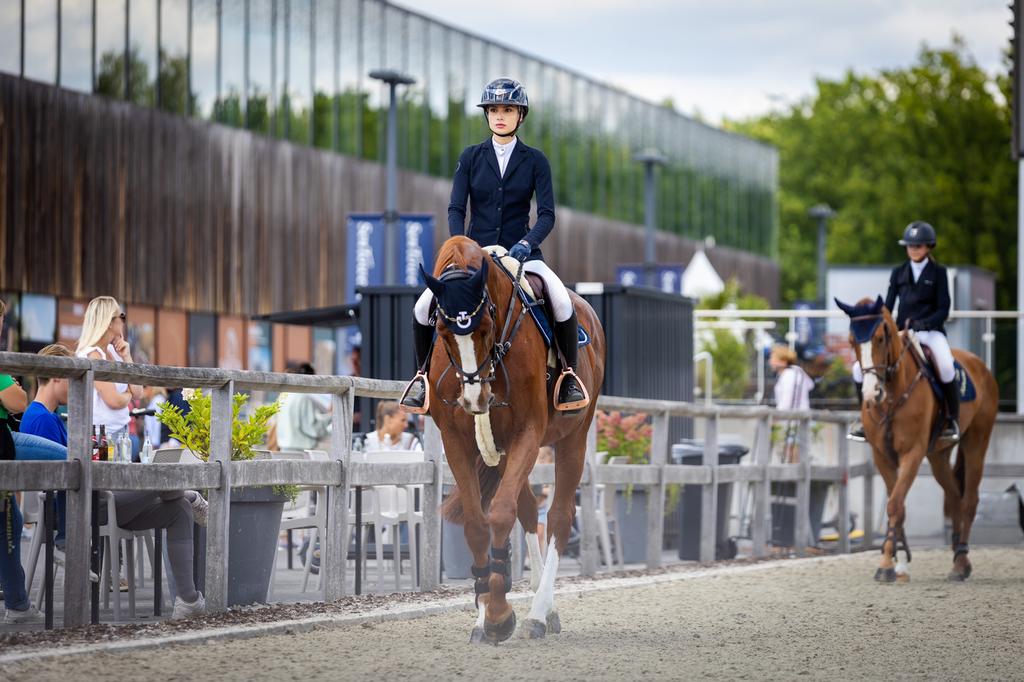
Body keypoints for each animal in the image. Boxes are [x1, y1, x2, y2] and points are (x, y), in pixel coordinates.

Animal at [419, 236, 605, 644]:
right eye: (443, 333)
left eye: (487, 326)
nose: (475, 398)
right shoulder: (456, 441)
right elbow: (477, 523)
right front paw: (485, 613)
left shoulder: (528, 434)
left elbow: (501, 513)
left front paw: (499, 615)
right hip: (504, 453)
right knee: (530, 511)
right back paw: (542, 608)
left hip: (573, 440)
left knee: (558, 517)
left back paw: (537, 613)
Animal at [836, 296, 998, 582]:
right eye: (852, 340)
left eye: (880, 338)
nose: (871, 393)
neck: (892, 393)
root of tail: (978, 364)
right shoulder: (882, 455)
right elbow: (897, 505)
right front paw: (897, 559)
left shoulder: (912, 453)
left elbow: (894, 504)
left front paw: (886, 565)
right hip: (937, 456)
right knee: (954, 497)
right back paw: (957, 557)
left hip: (976, 443)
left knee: (969, 500)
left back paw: (961, 562)